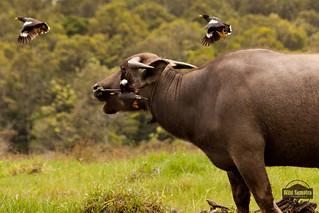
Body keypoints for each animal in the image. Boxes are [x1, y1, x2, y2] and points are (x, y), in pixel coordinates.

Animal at [93, 49, 319, 212]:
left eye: (123, 69)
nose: (97, 87)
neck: (201, 94)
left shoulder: (248, 154)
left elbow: (264, 199)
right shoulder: (232, 163)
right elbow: (241, 200)